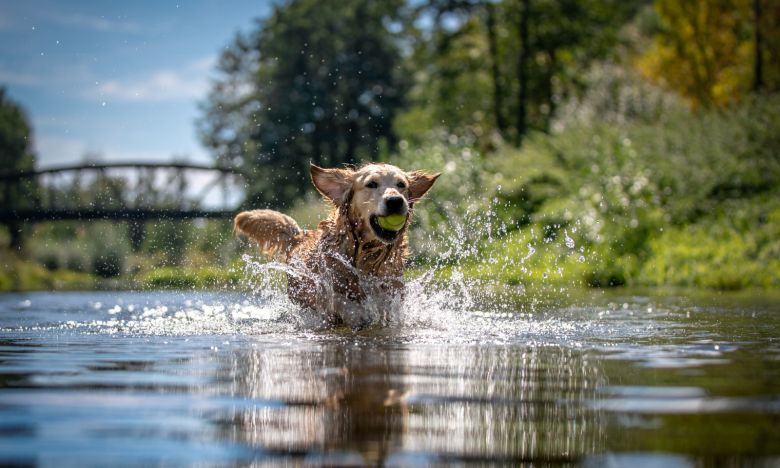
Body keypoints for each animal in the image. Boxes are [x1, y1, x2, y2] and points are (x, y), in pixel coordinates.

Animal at [232, 163, 438, 324]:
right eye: (371, 184)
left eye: (401, 184)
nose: (395, 201)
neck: (364, 255)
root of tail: (300, 236)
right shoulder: (323, 287)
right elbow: (338, 300)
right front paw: (358, 314)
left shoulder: (392, 290)